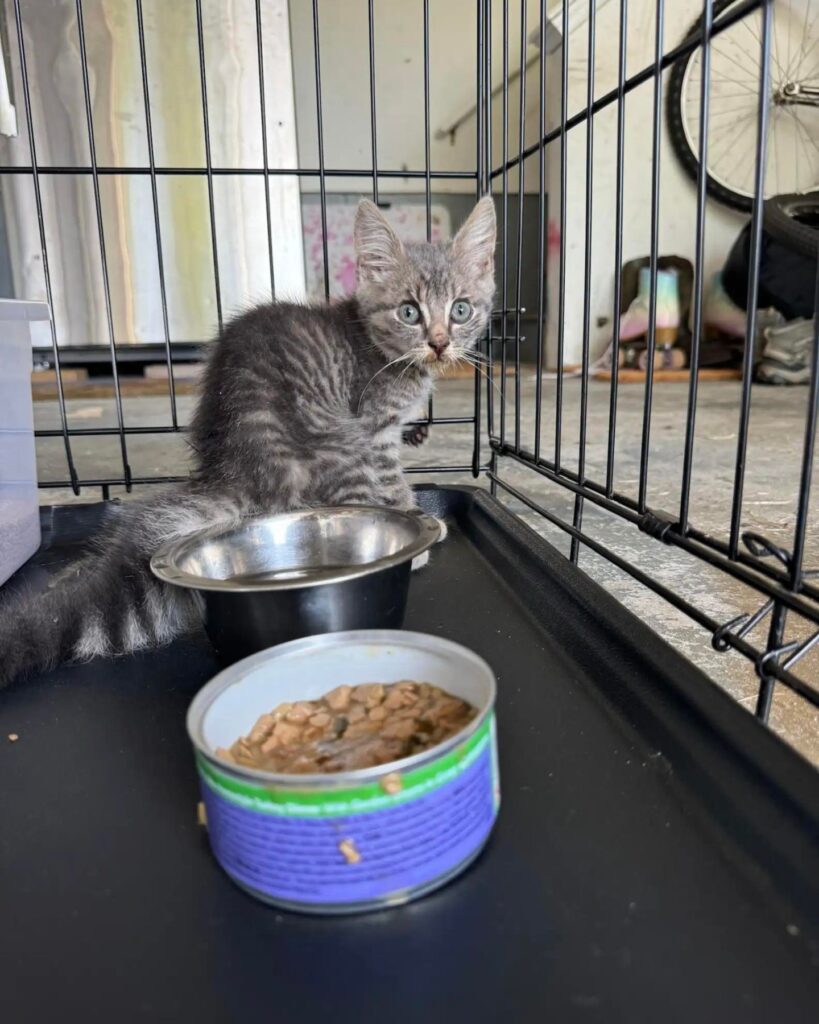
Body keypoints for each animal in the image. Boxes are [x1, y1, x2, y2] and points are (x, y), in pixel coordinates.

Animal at [0, 194, 495, 684]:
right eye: (409, 312)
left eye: (461, 310)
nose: (439, 344)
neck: (380, 349)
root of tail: (237, 469)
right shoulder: (374, 430)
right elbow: (392, 484)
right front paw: (417, 521)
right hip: (339, 442)